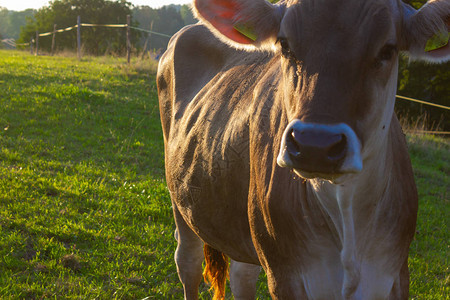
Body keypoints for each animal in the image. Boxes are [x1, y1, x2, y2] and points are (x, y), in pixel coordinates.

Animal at [156, 0, 450, 298]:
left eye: (387, 49)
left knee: (242, 274)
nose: (315, 144)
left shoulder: (395, 273)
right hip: (180, 198)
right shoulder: (284, 273)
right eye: (285, 44)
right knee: (188, 261)